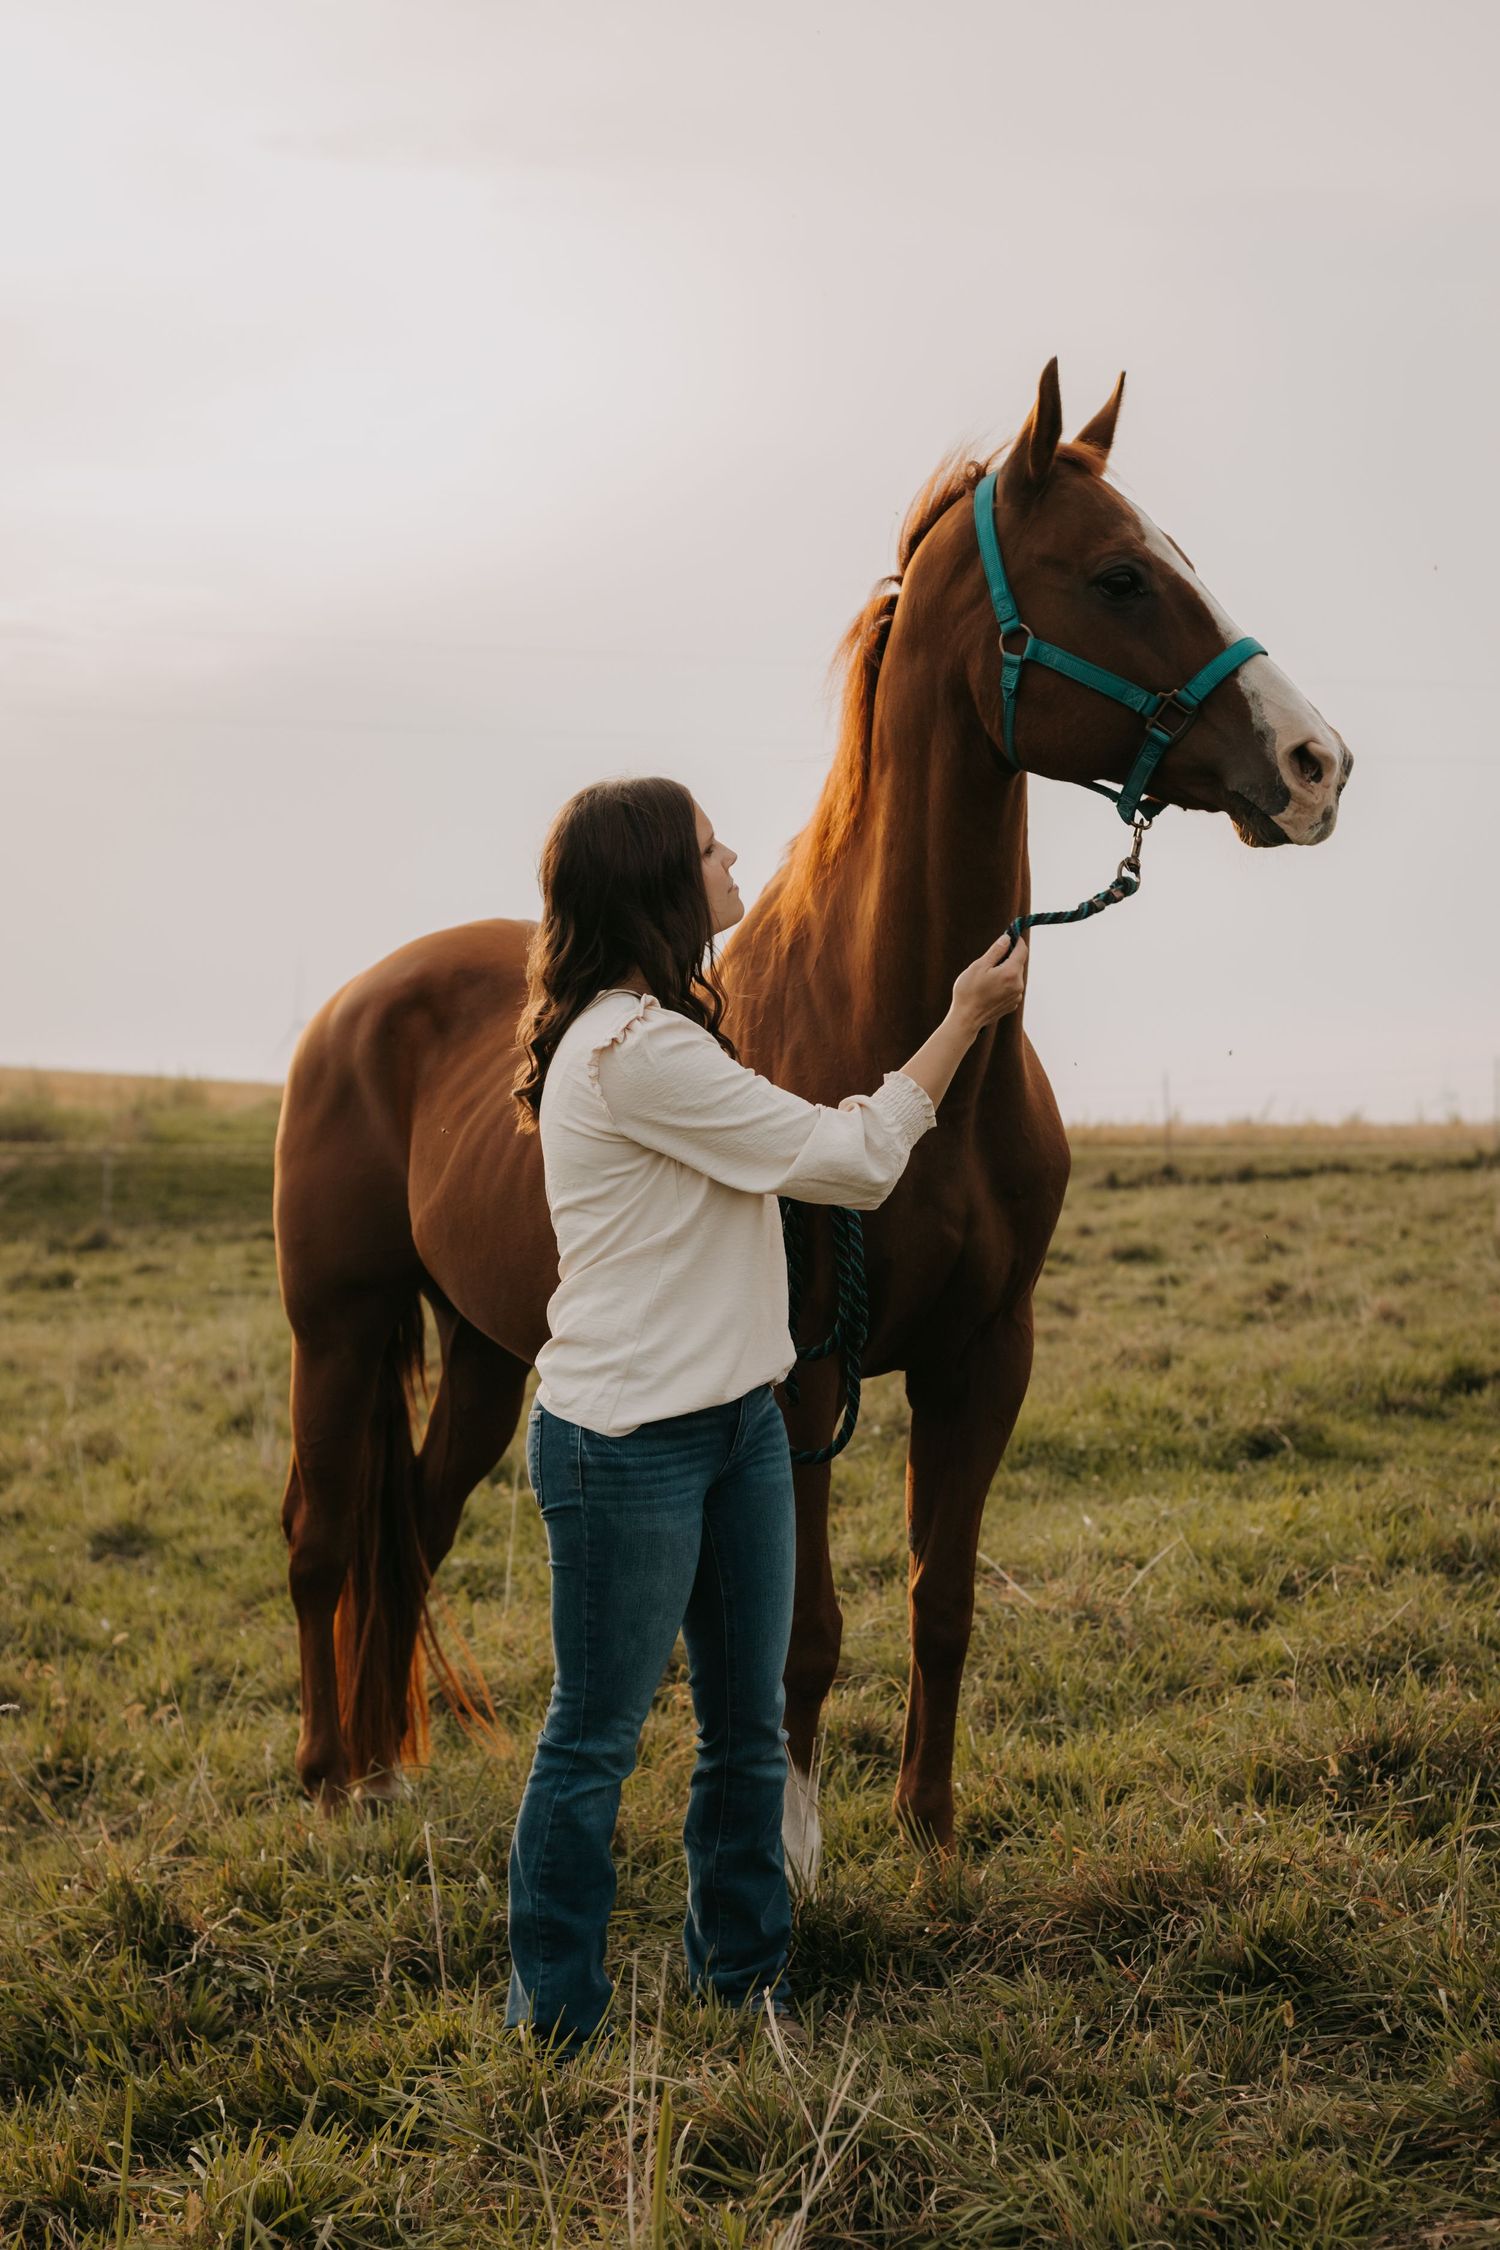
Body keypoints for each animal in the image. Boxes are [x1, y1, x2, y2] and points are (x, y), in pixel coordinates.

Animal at [273, 359, 1352, 1880]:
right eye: (1123, 577)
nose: (1317, 765)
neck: (896, 1039)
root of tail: (355, 1004)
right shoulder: (802, 1382)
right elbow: (803, 1635)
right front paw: (784, 1853)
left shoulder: (985, 1359)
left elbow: (940, 1600)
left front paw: (931, 1829)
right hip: (341, 1323)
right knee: (325, 1536)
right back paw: (328, 1774)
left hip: (488, 1349)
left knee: (407, 1530)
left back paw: (379, 1768)